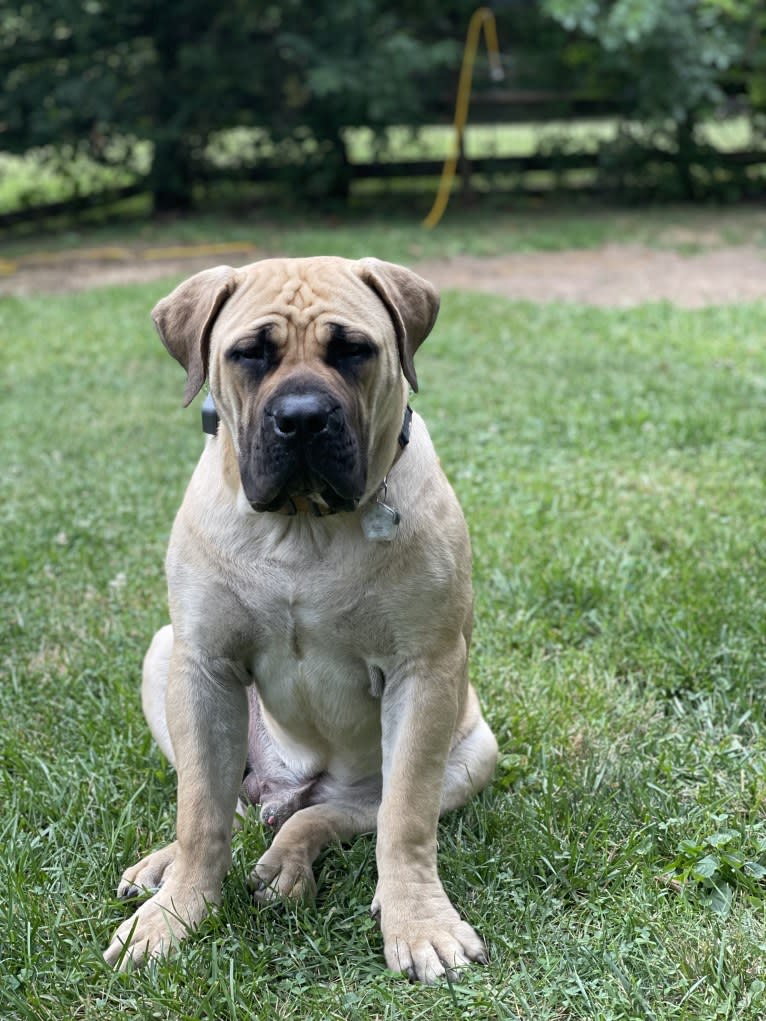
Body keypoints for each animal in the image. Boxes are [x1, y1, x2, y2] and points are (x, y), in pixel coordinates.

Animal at [105, 253, 500, 980]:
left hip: (468, 752)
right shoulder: (202, 666)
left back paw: (288, 865)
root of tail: (291, 788)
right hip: (164, 656)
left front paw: (419, 923)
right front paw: (175, 914)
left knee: (328, 817)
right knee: (227, 805)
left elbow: (406, 820)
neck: (303, 525)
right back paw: (166, 866)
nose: (303, 417)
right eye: (250, 354)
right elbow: (199, 814)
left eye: (353, 351)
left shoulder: (424, 670)